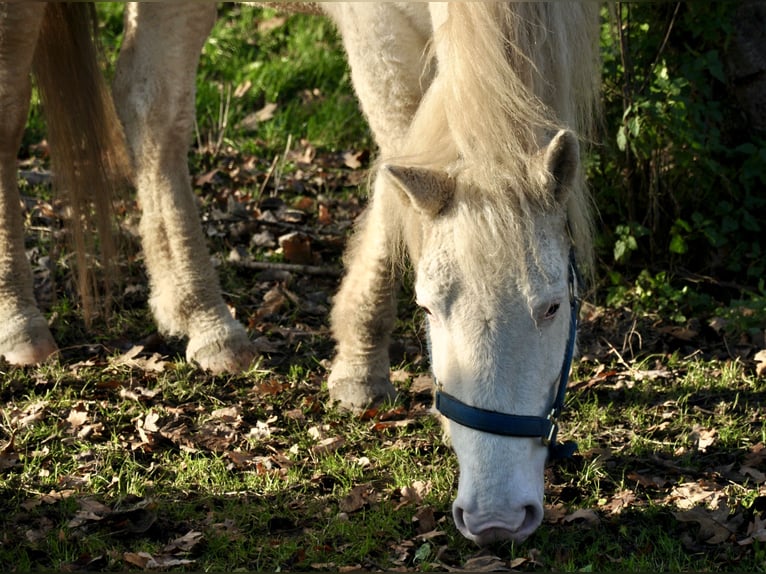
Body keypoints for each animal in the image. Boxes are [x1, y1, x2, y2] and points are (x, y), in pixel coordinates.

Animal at [0, 2, 600, 548]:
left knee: (152, 107)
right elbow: (399, 151)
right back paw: (20, 322)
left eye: (553, 306)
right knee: (13, 111)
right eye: (428, 307)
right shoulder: (377, 26)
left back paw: (199, 315)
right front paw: (360, 363)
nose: (495, 521)